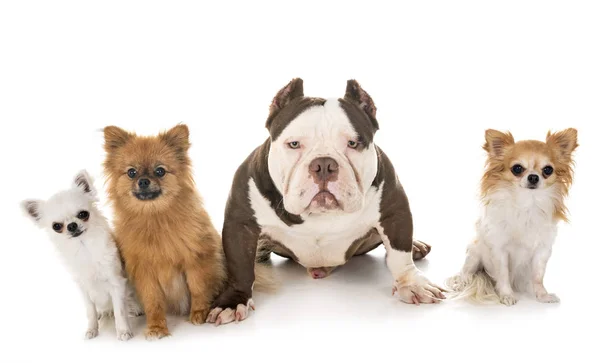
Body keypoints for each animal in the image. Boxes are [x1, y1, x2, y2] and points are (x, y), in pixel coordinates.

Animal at [22, 171, 136, 342]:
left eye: (83, 214)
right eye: (56, 226)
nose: (72, 225)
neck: (84, 249)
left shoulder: (116, 283)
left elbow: (120, 311)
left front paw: (123, 331)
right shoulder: (84, 289)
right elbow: (90, 312)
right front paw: (92, 329)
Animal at [102, 123, 226, 340]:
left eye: (160, 171)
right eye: (131, 172)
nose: (143, 181)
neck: (154, 217)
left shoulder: (195, 260)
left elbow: (198, 288)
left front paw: (199, 313)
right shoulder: (145, 272)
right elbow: (153, 302)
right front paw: (156, 327)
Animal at [206, 78, 446, 326]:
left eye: (353, 143)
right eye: (294, 144)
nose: (323, 164)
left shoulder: (394, 210)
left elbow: (400, 254)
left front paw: (413, 284)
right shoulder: (241, 223)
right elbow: (240, 266)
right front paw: (233, 301)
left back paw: (416, 245)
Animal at [448, 129, 580, 306]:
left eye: (548, 170)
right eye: (517, 168)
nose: (533, 177)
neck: (527, 203)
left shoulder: (542, 250)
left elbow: (538, 276)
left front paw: (542, 295)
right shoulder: (500, 249)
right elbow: (503, 274)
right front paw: (506, 295)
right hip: (475, 251)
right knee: (466, 270)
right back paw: (462, 282)